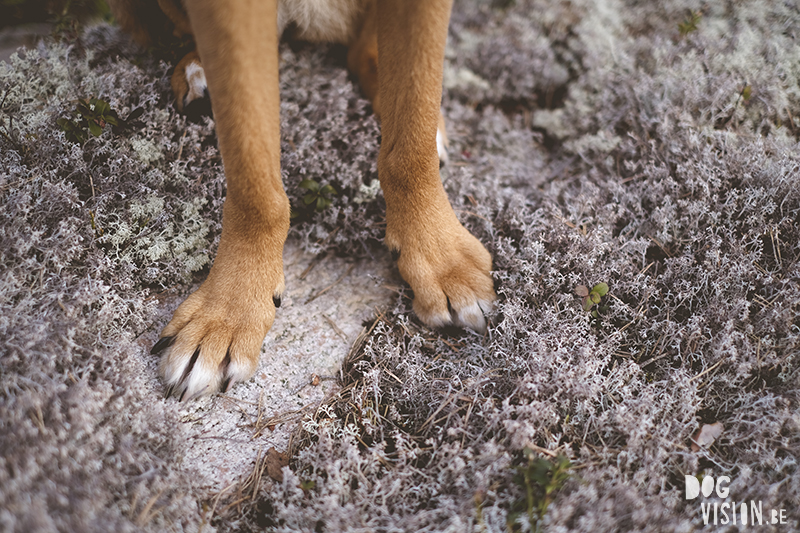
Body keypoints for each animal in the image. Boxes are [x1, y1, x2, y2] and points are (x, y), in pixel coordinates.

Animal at [106, 0, 494, 400]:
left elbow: (413, 136)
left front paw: (441, 259)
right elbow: (254, 179)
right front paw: (227, 313)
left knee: (365, 54)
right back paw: (197, 71)